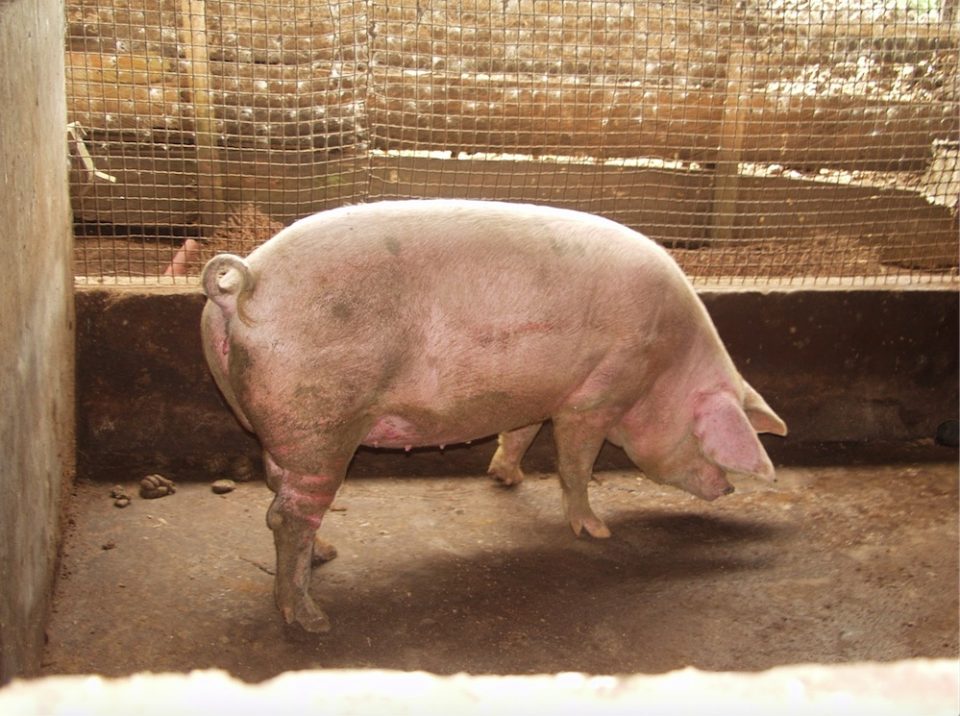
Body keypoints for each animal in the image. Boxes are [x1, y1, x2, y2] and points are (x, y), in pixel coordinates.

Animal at [200, 199, 787, 633]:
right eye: (706, 442)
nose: (729, 490)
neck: (663, 367)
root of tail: (245, 284)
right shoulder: (593, 399)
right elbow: (575, 465)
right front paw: (597, 532)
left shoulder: (529, 397)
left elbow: (520, 434)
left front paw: (506, 478)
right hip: (321, 421)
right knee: (287, 515)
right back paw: (310, 618)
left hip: (287, 431)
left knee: (282, 494)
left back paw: (326, 554)